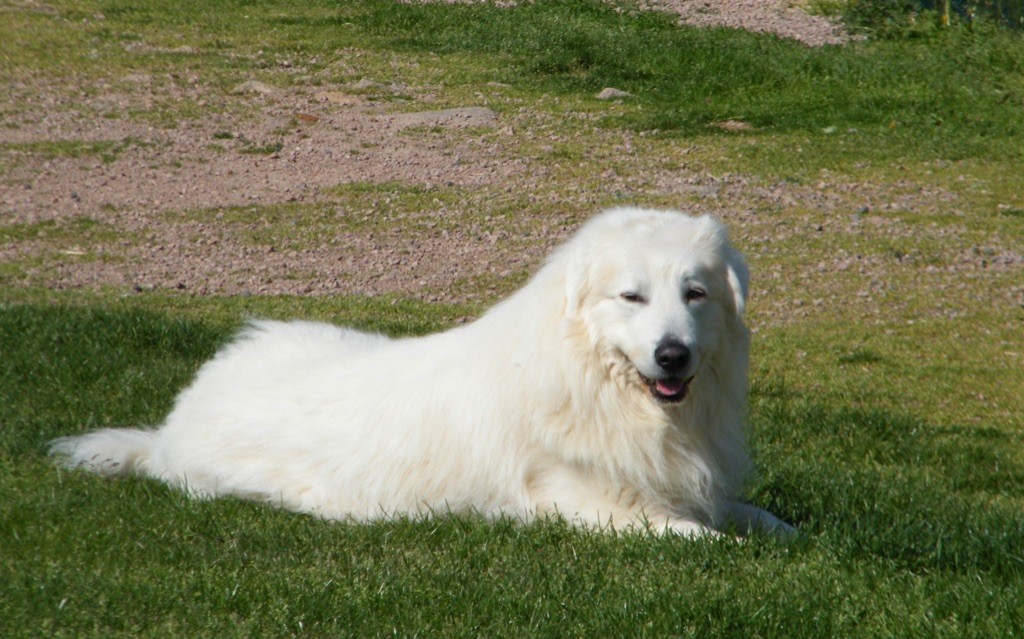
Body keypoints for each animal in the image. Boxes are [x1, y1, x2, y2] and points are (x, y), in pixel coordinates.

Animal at [51, 206, 794, 536]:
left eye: (695, 293)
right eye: (631, 297)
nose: (674, 354)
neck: (591, 381)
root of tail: (174, 420)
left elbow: (762, 519)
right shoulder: (582, 502)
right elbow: (704, 540)